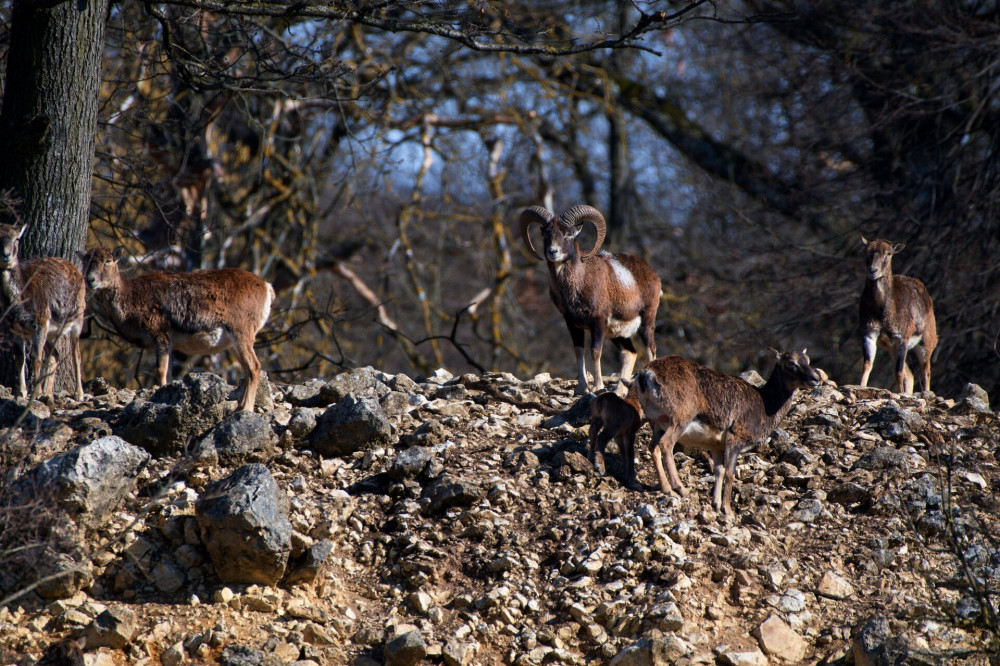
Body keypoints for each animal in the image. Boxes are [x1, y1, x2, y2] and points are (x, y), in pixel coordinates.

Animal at [0, 223, 84, 400]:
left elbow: (35, 358)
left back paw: (78, 393)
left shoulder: (41, 320)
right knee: (55, 354)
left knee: (76, 355)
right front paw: (22, 392)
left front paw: (35, 393)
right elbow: (20, 358)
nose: (6, 256)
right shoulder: (14, 328)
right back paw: (48, 393)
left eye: (16, 239)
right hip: (52, 331)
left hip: (77, 318)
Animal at [77, 245, 274, 410]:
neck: (130, 302)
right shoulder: (170, 342)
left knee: (254, 366)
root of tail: (267, 287)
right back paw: (239, 406)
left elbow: (160, 370)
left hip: (241, 330)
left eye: (108, 260)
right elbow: (169, 372)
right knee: (247, 369)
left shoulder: (160, 331)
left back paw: (246, 409)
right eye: (86, 261)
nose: (90, 280)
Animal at [516, 206, 664, 394]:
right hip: (618, 334)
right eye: (546, 234)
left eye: (569, 234)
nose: (553, 252)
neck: (577, 284)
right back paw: (618, 392)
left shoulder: (598, 322)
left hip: (646, 322)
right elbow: (579, 351)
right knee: (630, 353)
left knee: (650, 350)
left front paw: (597, 387)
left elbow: (595, 351)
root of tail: (651, 273)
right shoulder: (572, 324)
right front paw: (581, 388)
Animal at [632, 350, 820, 516]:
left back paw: (666, 489)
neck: (765, 406)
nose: (815, 379)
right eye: (791, 363)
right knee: (666, 444)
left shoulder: (717, 446)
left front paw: (715, 504)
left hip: (657, 423)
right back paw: (681, 489)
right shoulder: (735, 440)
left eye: (808, 360)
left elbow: (719, 471)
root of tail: (647, 374)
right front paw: (728, 512)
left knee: (654, 447)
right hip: (679, 420)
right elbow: (730, 473)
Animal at [860, 237, 936, 394]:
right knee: (911, 375)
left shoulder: (902, 338)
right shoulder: (869, 334)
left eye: (888, 253)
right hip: (892, 350)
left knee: (925, 371)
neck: (882, 312)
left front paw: (899, 393)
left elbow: (898, 372)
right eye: (866, 251)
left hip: (926, 342)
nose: (873, 270)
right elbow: (867, 365)